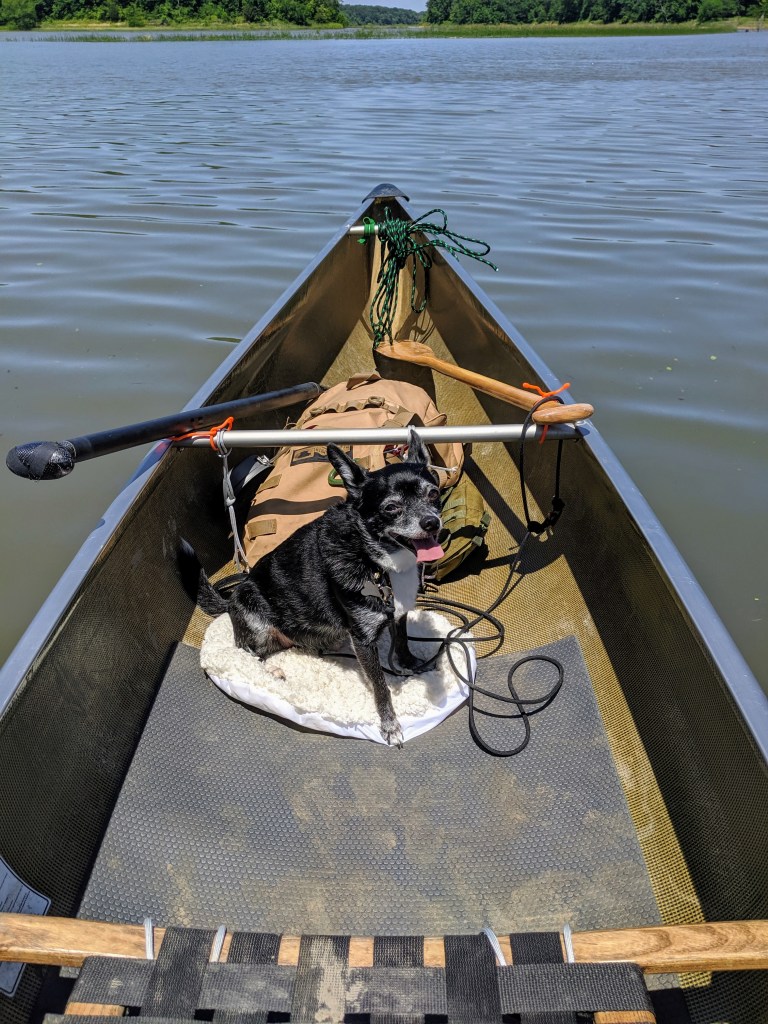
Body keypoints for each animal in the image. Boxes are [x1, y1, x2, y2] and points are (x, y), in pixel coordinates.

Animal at [179, 428, 444, 746]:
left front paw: (412, 664)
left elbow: (402, 642)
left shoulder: (398, 614)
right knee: (247, 652)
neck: (377, 561)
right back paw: (272, 669)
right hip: (256, 618)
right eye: (391, 508)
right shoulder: (364, 640)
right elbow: (380, 685)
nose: (431, 522)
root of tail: (229, 602)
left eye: (434, 494)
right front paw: (389, 725)